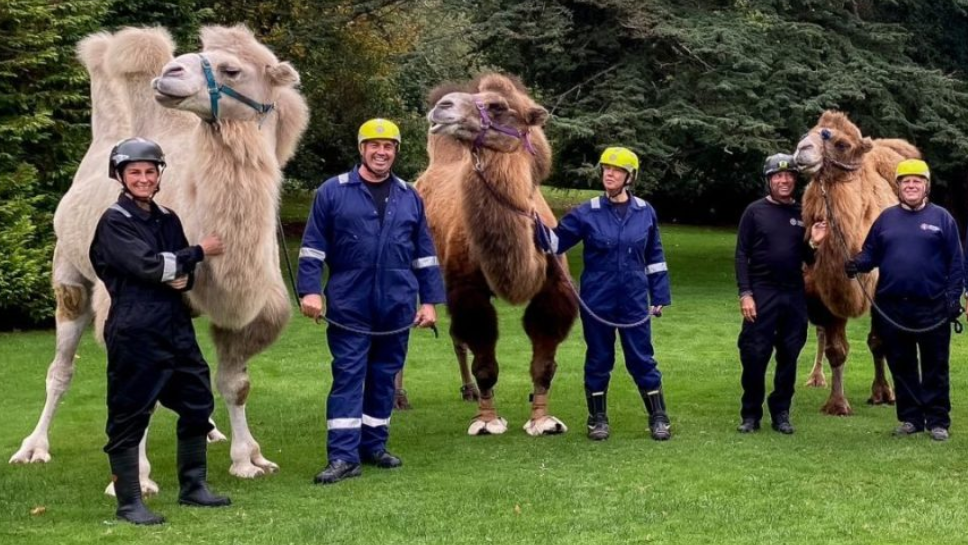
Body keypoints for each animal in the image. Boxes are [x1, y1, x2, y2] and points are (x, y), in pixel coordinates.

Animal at [7, 24, 308, 492]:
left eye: (232, 69)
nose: (170, 73)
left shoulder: (250, 309)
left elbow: (234, 383)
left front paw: (248, 459)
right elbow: (139, 392)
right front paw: (135, 480)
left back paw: (211, 430)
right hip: (69, 276)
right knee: (61, 368)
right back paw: (33, 448)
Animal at [414, 74, 576, 436]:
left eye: (497, 106)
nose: (441, 107)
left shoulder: (554, 287)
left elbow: (544, 362)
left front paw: (543, 420)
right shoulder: (468, 289)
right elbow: (485, 359)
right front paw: (487, 420)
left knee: (454, 336)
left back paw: (467, 391)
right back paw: (400, 397)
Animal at [792, 112, 920, 414]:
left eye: (841, 144)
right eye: (807, 133)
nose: (802, 150)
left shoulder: (880, 292)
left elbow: (878, 341)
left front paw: (882, 393)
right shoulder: (821, 294)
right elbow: (836, 349)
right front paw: (837, 404)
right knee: (819, 333)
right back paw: (816, 378)